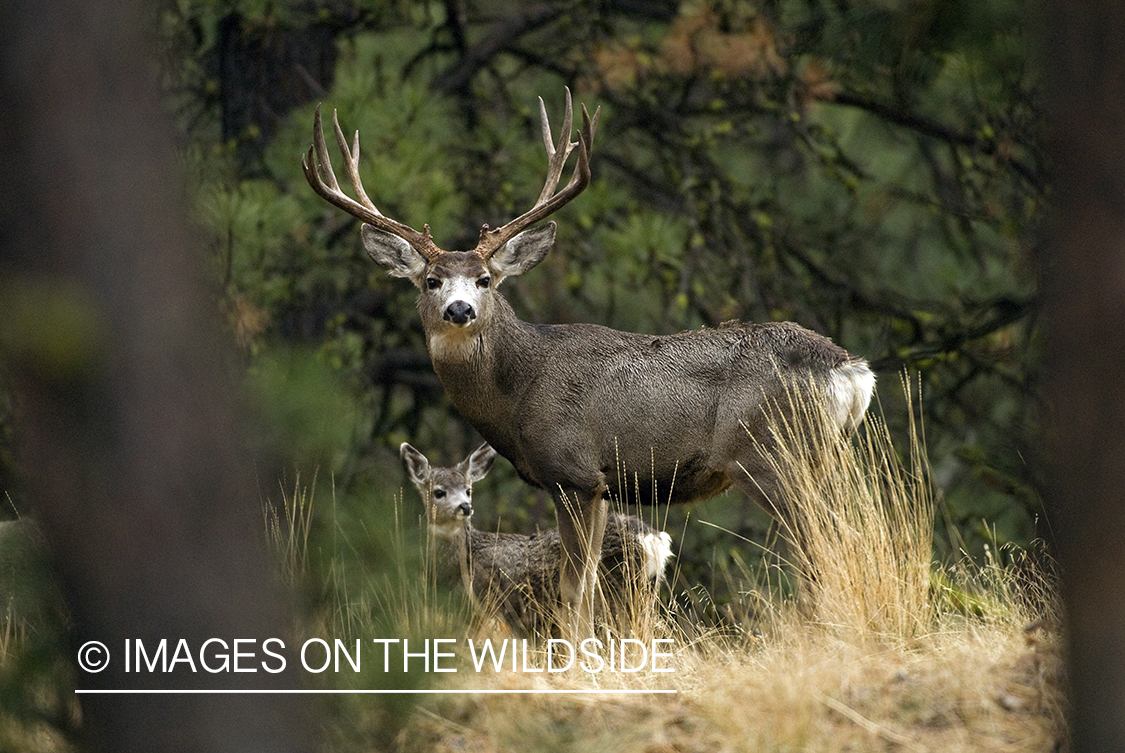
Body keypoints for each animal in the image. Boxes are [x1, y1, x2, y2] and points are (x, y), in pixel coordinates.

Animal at [401, 442, 673, 636]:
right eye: (438, 492)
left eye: (468, 490)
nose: (465, 507)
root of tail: (651, 538)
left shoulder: (483, 605)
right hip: (646, 592)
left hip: (618, 591)